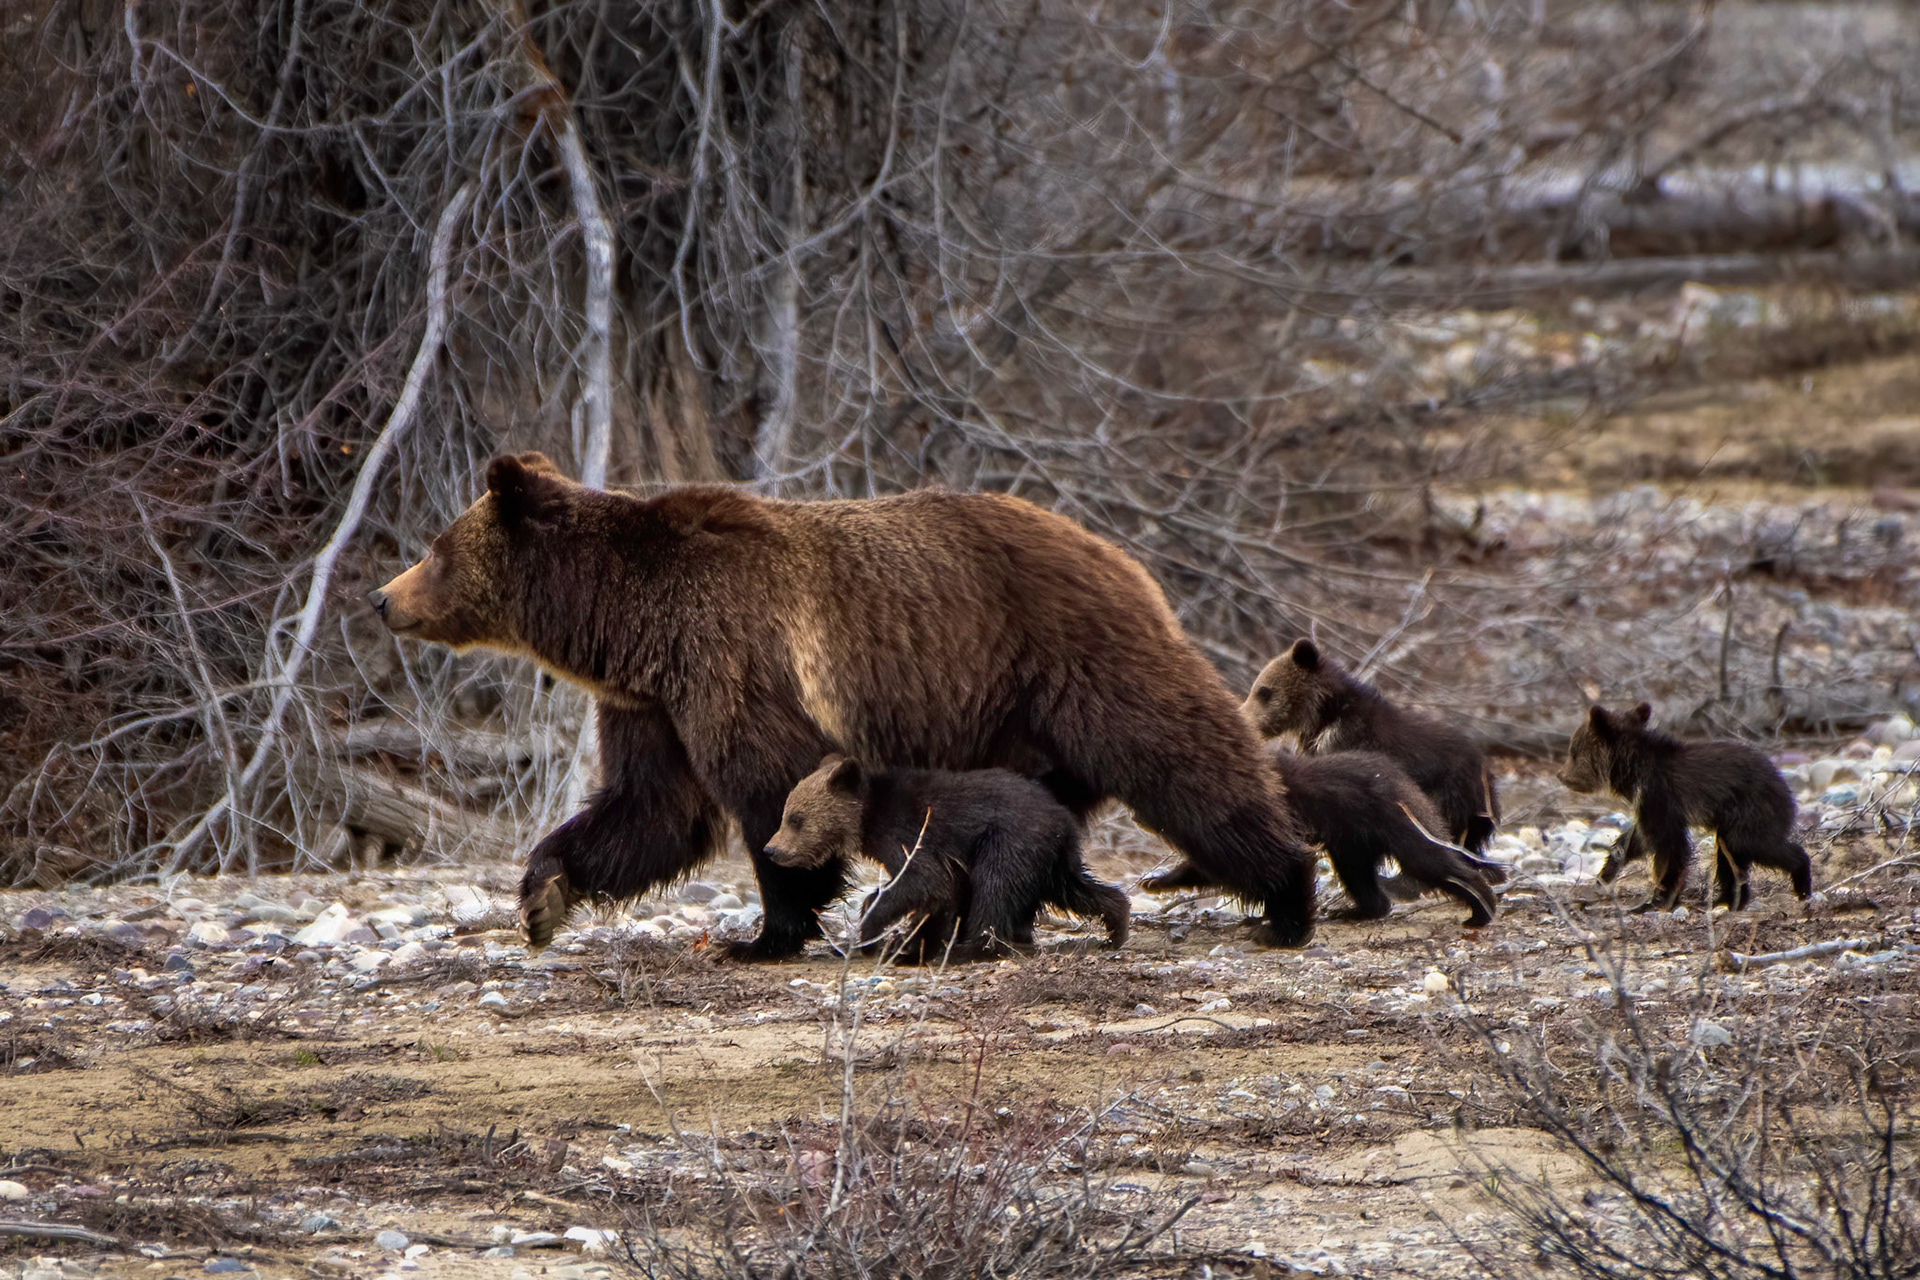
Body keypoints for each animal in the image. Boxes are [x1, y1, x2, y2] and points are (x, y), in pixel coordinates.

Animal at [762, 755, 1130, 960]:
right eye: (786, 814)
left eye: (795, 818)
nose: (771, 849)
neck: (867, 818)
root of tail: (1062, 818)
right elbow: (940, 893)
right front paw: (911, 942)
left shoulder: (909, 833)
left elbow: (923, 880)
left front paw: (872, 932)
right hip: (1050, 856)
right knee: (1075, 889)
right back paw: (1116, 928)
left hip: (1008, 840)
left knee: (994, 887)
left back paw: (972, 947)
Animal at [1143, 747, 1501, 927]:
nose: (1139, 817)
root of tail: (1408, 786)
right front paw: (1156, 880)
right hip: (1353, 842)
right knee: (1361, 878)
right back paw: (1358, 911)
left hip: (1392, 823)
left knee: (1430, 860)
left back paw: (1481, 910)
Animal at [1559, 702, 1813, 911]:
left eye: (1573, 750)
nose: (1561, 775)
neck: (1633, 772)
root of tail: (1785, 786)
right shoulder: (1648, 804)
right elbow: (1636, 839)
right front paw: (1606, 873)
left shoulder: (1660, 794)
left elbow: (1669, 846)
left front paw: (1660, 898)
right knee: (1729, 854)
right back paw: (1728, 900)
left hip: (1753, 808)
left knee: (1750, 844)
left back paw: (1801, 883)